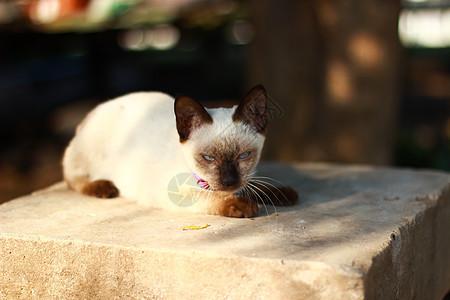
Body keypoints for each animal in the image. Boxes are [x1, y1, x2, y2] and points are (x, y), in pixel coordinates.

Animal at [61, 84, 298, 218]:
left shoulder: (246, 177)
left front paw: (282, 194)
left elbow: (255, 186)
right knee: (71, 178)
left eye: (244, 156)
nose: (229, 182)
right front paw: (241, 204)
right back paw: (104, 187)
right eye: (209, 158)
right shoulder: (167, 192)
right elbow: (207, 197)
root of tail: (94, 111)